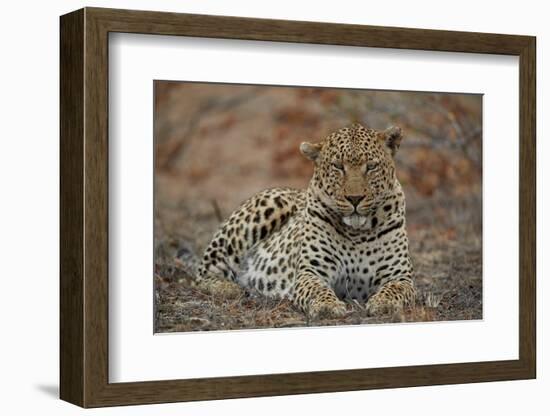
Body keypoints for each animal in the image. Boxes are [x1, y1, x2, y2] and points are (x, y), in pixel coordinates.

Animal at [188, 123, 416, 318]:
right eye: (337, 166)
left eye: (371, 166)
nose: (355, 198)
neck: (357, 232)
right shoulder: (311, 272)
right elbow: (317, 290)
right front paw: (327, 306)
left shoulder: (400, 275)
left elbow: (394, 289)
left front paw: (384, 303)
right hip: (263, 210)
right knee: (203, 273)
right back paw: (230, 288)